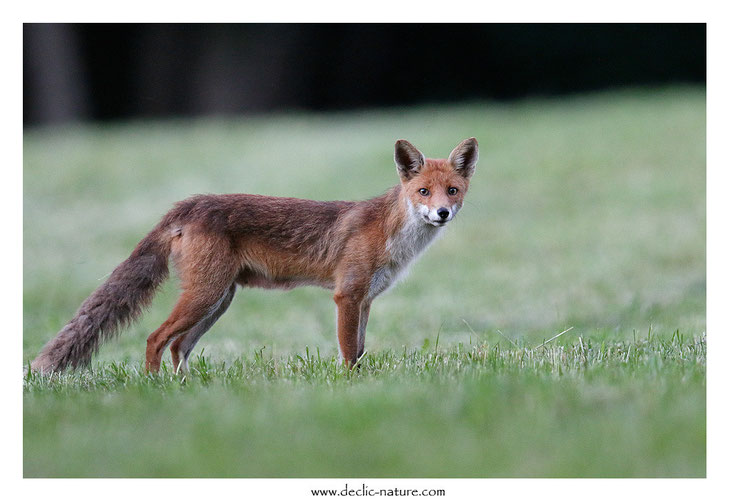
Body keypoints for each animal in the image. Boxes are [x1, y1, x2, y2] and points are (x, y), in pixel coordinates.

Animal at [29, 137, 478, 372]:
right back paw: (154, 389)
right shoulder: (347, 296)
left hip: (218, 300)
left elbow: (361, 350)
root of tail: (188, 203)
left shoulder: (365, 300)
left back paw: (183, 391)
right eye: (424, 191)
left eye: (452, 191)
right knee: (157, 338)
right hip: (206, 296)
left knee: (179, 347)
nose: (442, 213)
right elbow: (349, 353)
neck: (391, 234)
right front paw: (354, 388)